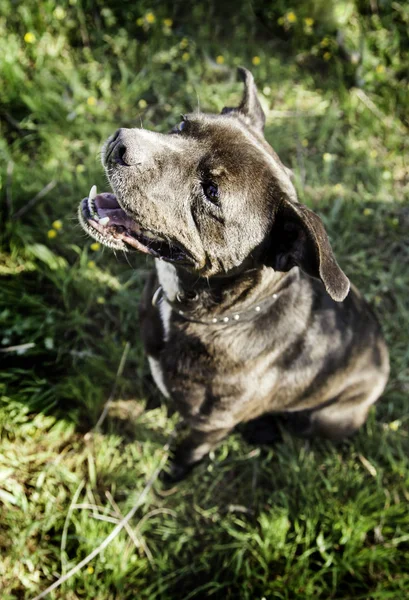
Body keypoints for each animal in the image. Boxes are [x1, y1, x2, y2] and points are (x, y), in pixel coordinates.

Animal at [78, 68, 388, 480]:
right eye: (183, 124)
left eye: (211, 192)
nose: (122, 143)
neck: (214, 315)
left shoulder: (211, 426)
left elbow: (189, 451)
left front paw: (170, 476)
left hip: (329, 417)